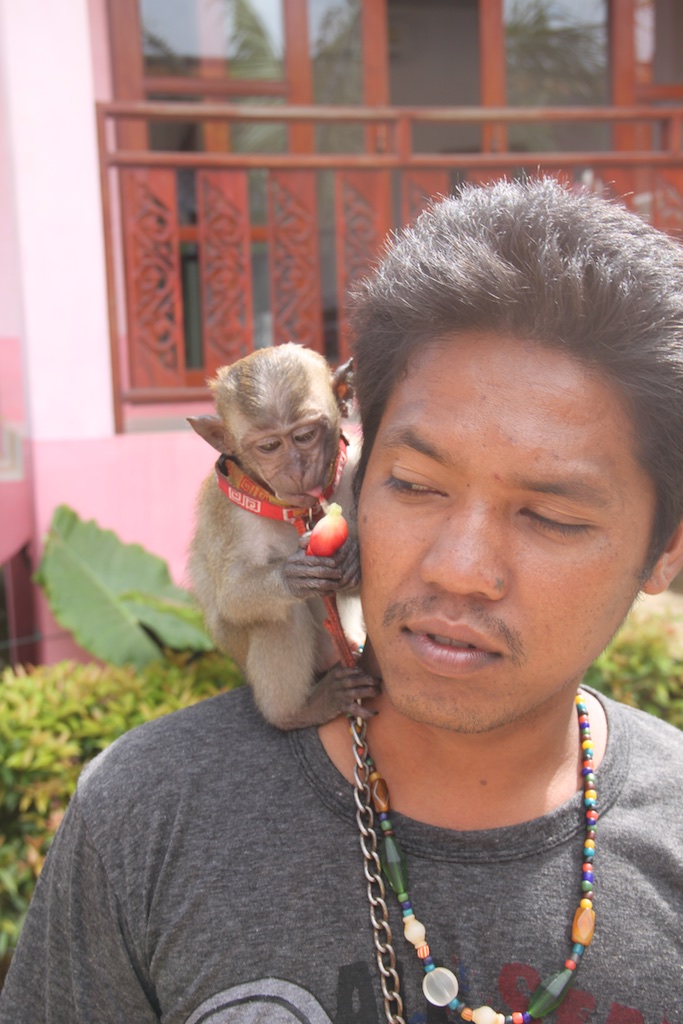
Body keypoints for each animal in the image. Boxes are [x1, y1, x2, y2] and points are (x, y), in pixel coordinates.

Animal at [188, 342, 378, 729]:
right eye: (270, 446)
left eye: (305, 436)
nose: (297, 470)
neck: (298, 513)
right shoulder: (232, 516)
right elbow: (231, 598)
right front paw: (295, 576)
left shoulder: (354, 470)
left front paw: (351, 560)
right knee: (279, 616)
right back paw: (295, 711)